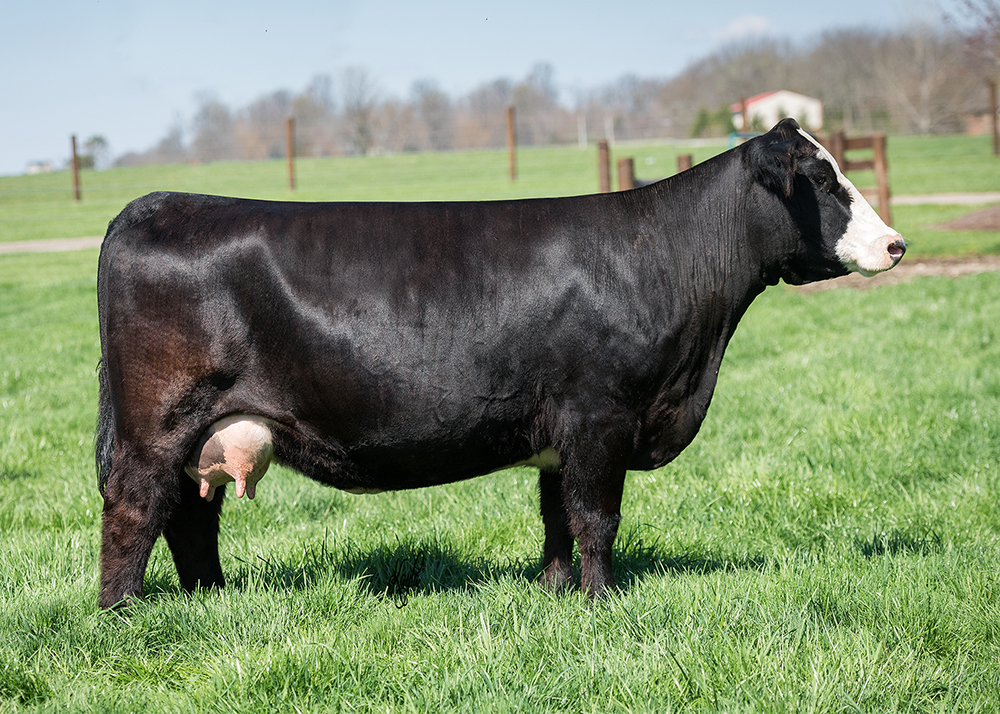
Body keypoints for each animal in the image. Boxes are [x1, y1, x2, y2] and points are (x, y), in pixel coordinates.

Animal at [95, 119, 904, 608]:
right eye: (823, 181)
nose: (896, 244)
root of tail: (151, 204)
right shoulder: (601, 415)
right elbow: (596, 517)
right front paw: (602, 602)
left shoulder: (562, 433)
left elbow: (556, 517)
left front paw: (556, 594)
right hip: (156, 422)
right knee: (135, 507)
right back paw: (125, 615)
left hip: (207, 428)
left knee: (190, 514)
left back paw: (210, 601)